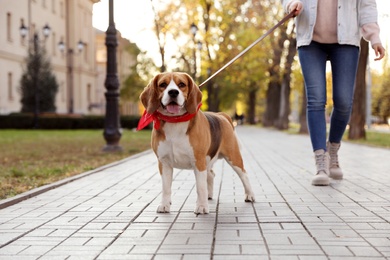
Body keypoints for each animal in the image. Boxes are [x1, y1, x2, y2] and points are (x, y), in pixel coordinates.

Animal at [139, 72, 254, 214]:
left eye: (182, 84)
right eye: (163, 84)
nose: (173, 92)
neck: (175, 121)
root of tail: (222, 115)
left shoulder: (198, 161)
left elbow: (200, 187)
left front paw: (202, 206)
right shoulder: (164, 163)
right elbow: (166, 188)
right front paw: (165, 205)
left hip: (232, 157)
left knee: (244, 175)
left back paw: (249, 195)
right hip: (208, 160)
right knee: (211, 175)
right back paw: (209, 195)